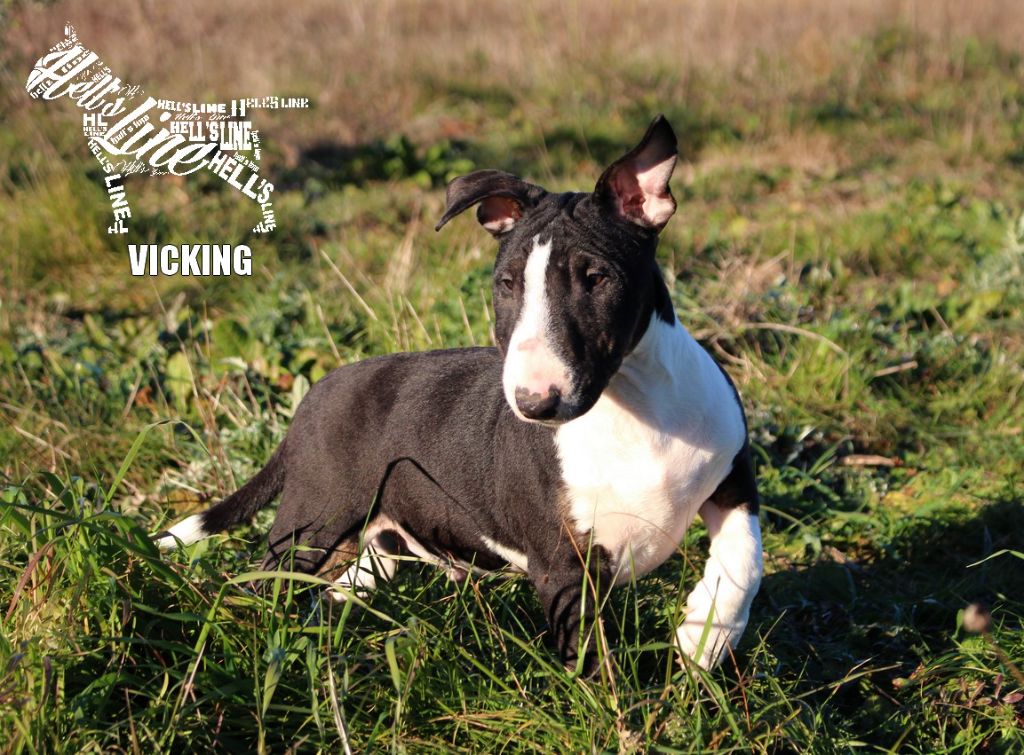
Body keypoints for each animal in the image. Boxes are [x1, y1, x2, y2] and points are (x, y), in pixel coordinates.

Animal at [156, 116, 763, 671]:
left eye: (596, 278)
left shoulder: (733, 473)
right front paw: (625, 708)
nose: (534, 404)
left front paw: (704, 635)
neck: (634, 406)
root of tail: (315, 396)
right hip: (316, 517)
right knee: (264, 584)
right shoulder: (563, 566)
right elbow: (591, 663)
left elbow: (745, 559)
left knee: (344, 586)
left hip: (382, 535)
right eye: (507, 284)